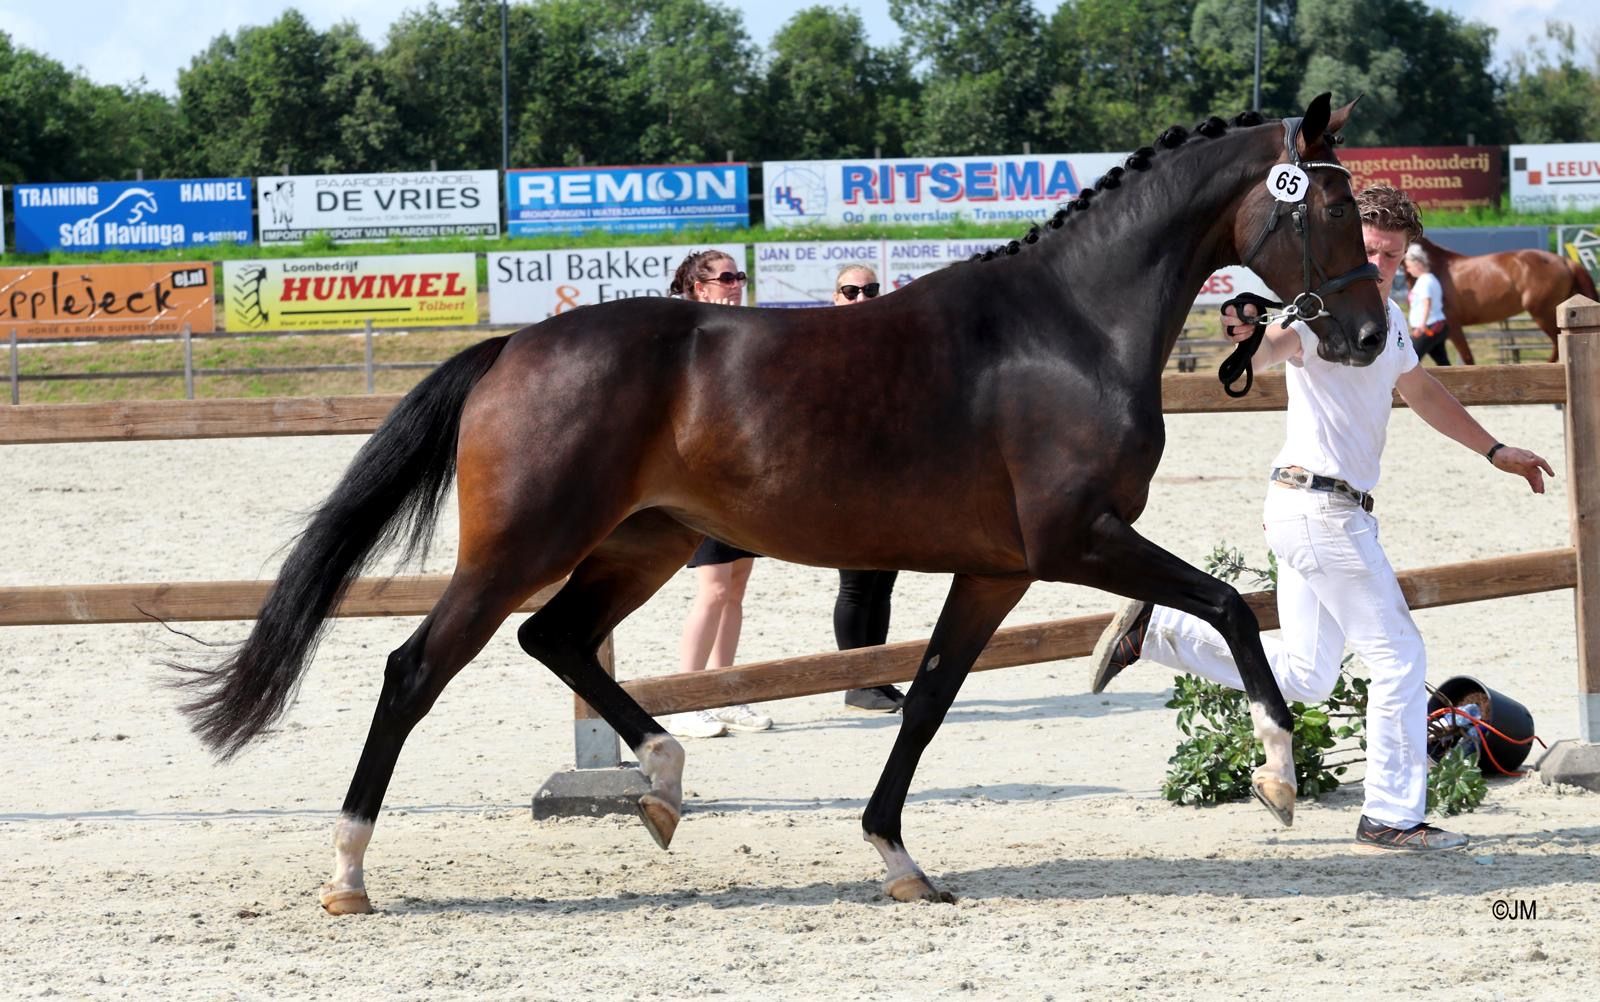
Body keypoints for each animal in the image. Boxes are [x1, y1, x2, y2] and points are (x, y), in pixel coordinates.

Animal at [175, 94, 1388, 914]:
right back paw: (348, 871)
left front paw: (898, 858)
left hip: (643, 544)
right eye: (1332, 203)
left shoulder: (997, 568)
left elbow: (929, 697)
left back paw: (664, 783)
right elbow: (1228, 605)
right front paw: (1278, 777)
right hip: (525, 546)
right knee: (417, 668)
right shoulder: (1076, 540)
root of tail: (515, 345)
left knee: (554, 639)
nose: (1370, 334)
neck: (1070, 327)